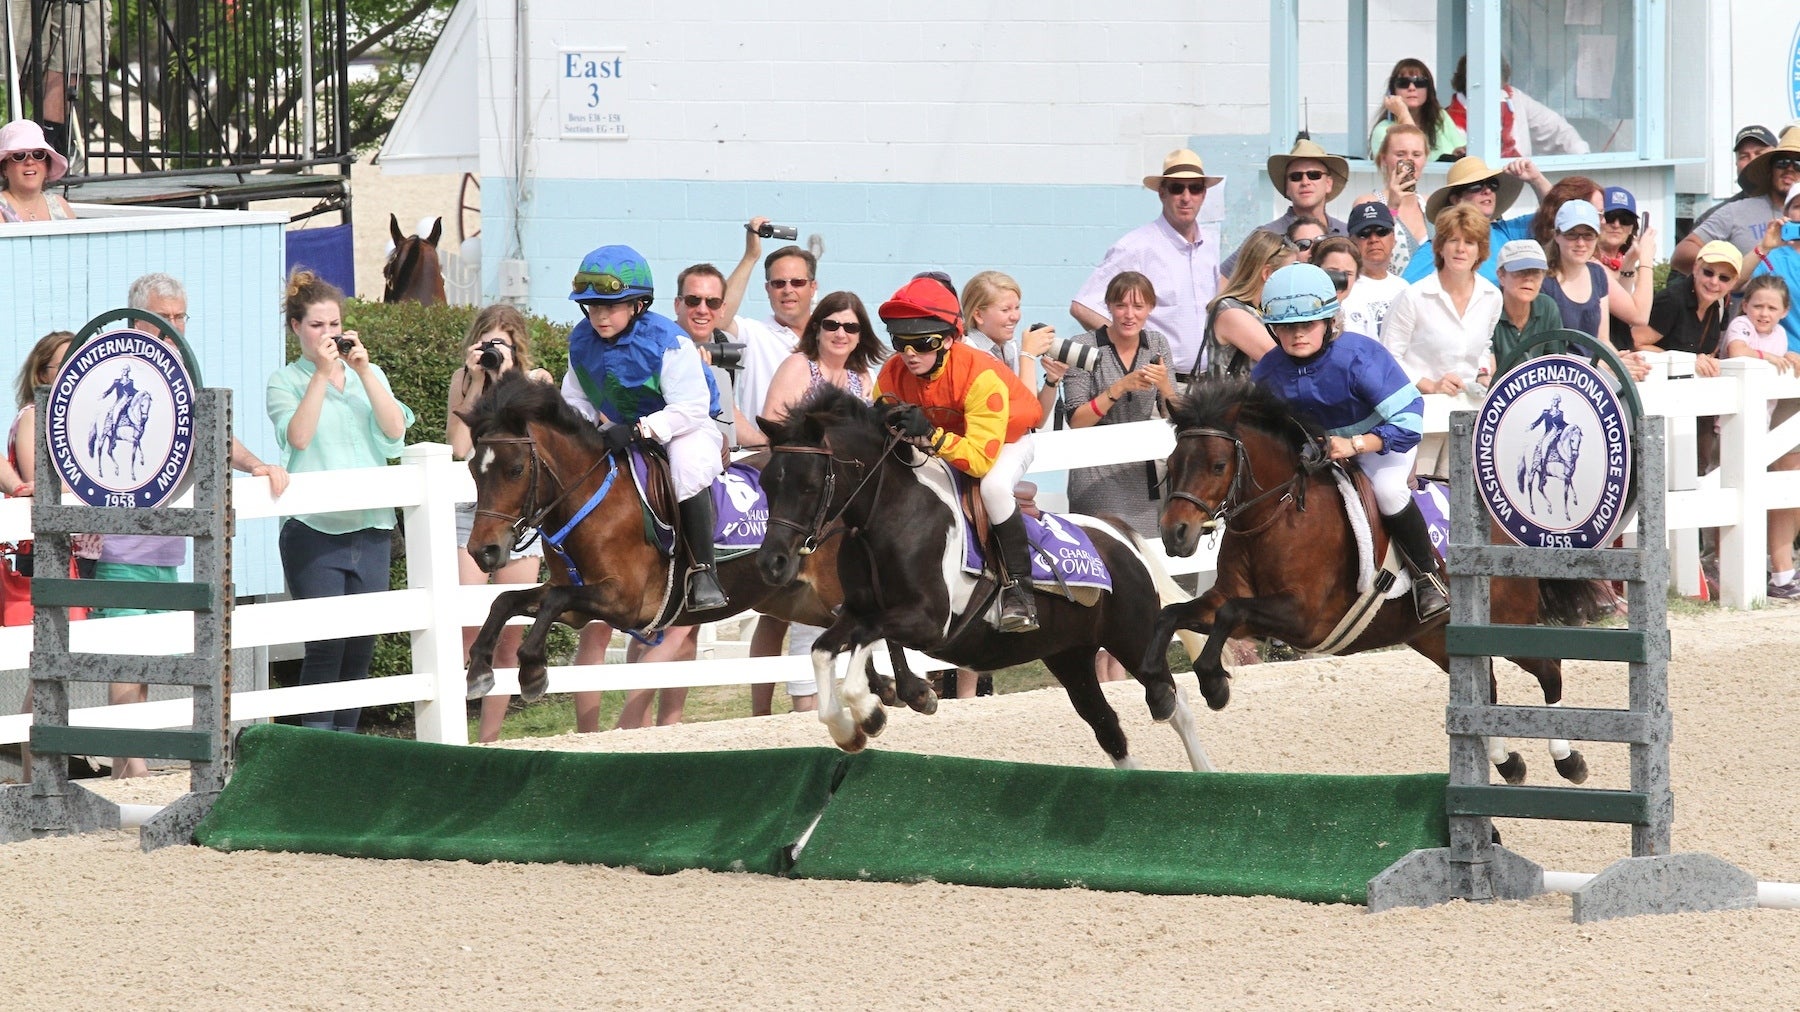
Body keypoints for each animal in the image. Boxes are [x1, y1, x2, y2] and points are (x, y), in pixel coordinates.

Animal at [453, 374, 943, 713]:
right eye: (474, 469)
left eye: (516, 469)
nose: (483, 551)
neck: (592, 497)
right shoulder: (579, 605)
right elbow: (508, 601)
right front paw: (479, 669)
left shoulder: (624, 601)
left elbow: (551, 601)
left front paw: (532, 669)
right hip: (803, 599)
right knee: (851, 627)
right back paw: (889, 686)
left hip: (836, 589)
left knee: (880, 620)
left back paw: (912, 688)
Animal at [752, 381, 1216, 767]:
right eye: (767, 483)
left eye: (809, 485)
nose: (771, 563)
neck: (887, 517)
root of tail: (1120, 536)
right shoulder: (857, 610)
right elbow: (823, 649)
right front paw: (851, 727)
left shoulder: (928, 622)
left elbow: (866, 640)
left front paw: (869, 711)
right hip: (1070, 655)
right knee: (1107, 726)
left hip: (1134, 640)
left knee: (1173, 704)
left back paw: (1203, 773)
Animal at [1144, 376, 1612, 781]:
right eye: (1171, 465)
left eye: (1218, 464)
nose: (1174, 534)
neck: (1275, 516)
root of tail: (1504, 527)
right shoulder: (1238, 603)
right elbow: (1173, 615)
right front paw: (1159, 691)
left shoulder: (1301, 617)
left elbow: (1228, 614)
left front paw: (1213, 684)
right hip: (1434, 637)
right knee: (1490, 688)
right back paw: (1507, 762)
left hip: (1506, 623)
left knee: (1548, 668)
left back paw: (1567, 759)